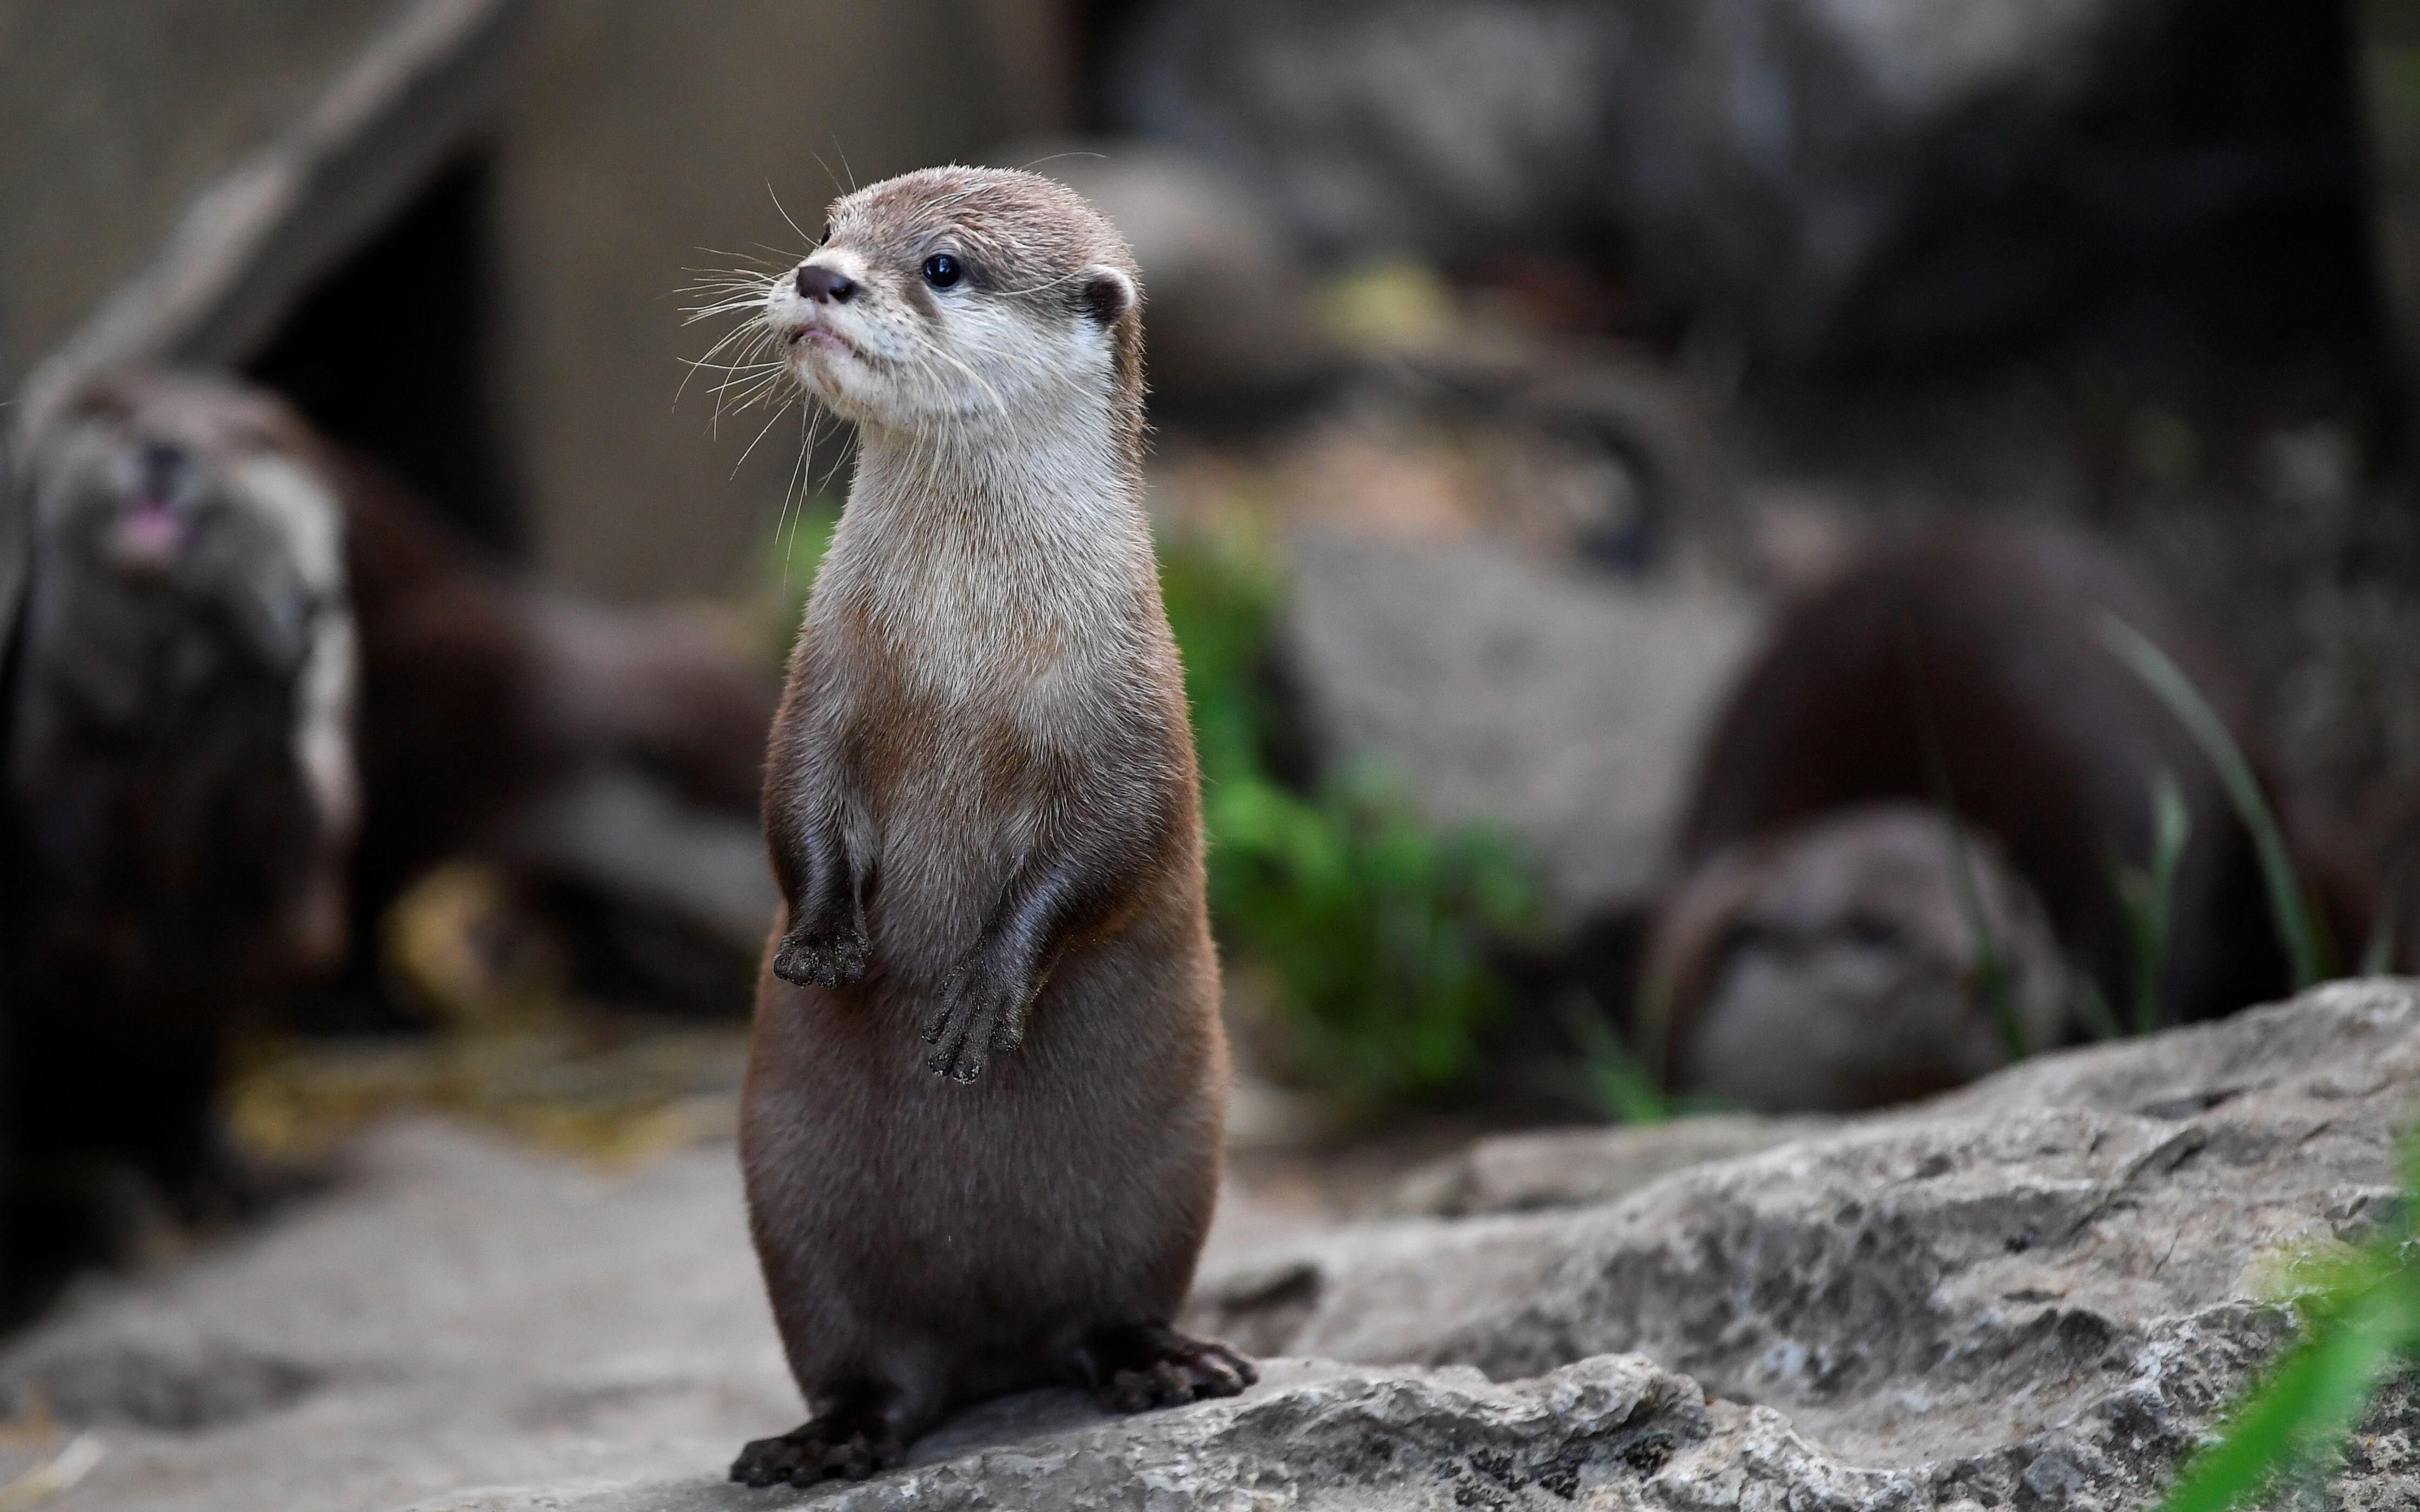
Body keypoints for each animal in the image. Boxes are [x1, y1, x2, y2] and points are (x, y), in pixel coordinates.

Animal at [730, 168, 1248, 1490]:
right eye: (830, 229)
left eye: (944, 267)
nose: (820, 279)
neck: (963, 656)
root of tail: (994, 1356)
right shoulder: (821, 682)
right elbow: (792, 803)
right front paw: (823, 942)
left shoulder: (1135, 714)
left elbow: (1108, 856)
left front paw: (977, 1002)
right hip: (799, 1220)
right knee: (867, 1364)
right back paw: (824, 1440)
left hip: (1167, 1182)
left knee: (1107, 1307)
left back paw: (1163, 1362)